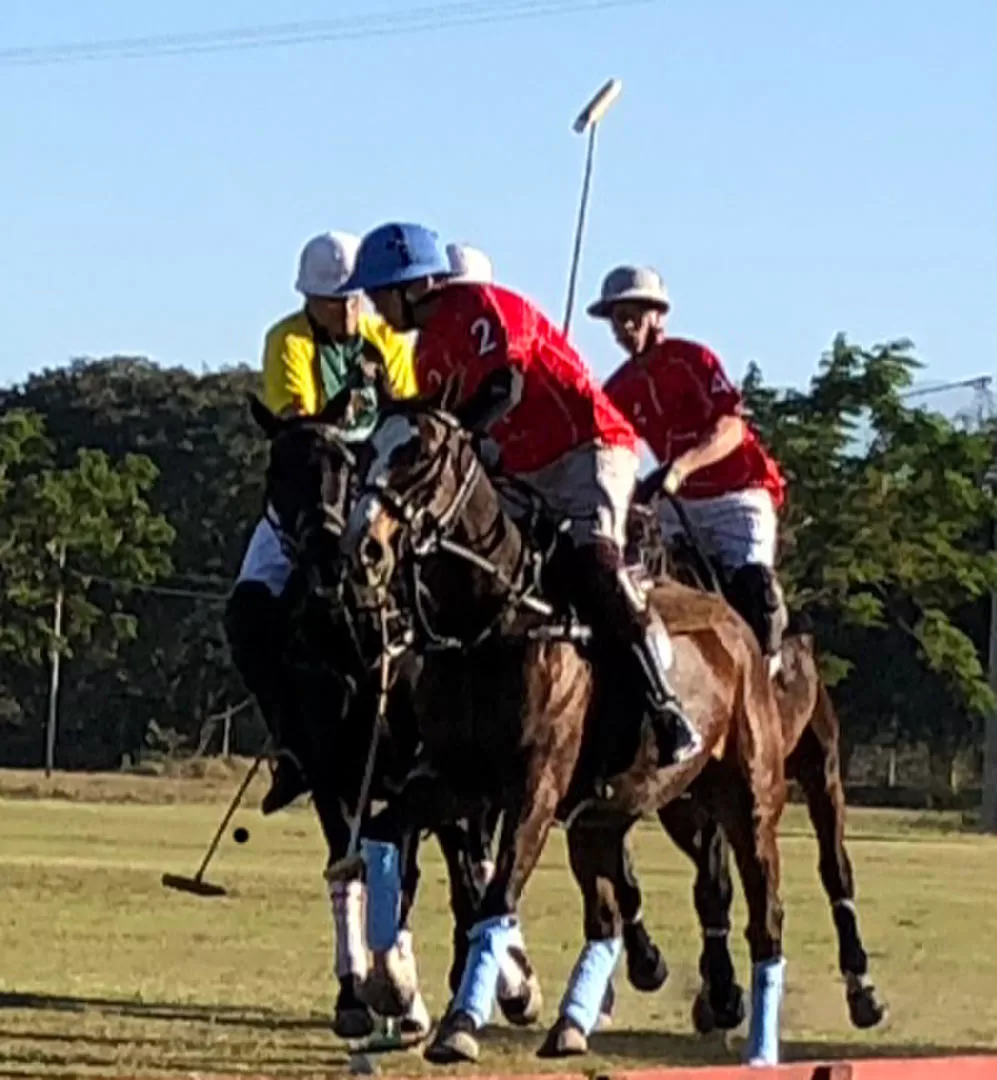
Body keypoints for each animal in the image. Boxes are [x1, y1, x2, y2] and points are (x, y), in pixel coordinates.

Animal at [339, 408, 790, 1067]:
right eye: (368, 451)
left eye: (419, 455)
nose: (363, 548)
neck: (492, 620)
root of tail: (739, 628)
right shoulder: (453, 781)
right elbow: (379, 835)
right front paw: (388, 986)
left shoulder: (533, 789)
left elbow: (498, 895)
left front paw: (460, 1024)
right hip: (598, 820)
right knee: (605, 917)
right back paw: (573, 1024)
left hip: (745, 804)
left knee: (764, 915)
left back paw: (758, 1045)